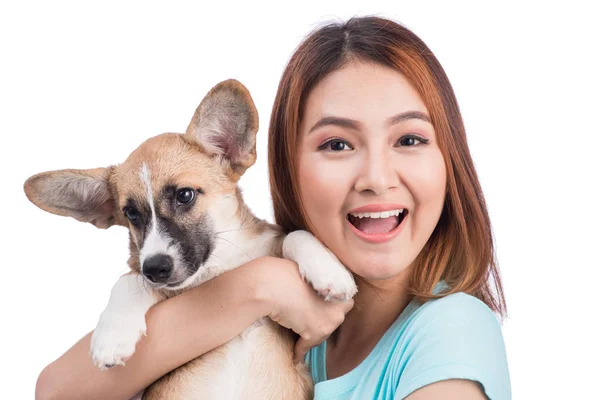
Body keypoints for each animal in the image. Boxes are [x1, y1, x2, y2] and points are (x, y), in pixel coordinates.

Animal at [24, 79, 356, 398]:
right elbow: (128, 279)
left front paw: (330, 271)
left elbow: (294, 234)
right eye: (131, 213)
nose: (155, 269)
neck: (219, 267)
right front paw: (111, 336)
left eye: (184, 195)